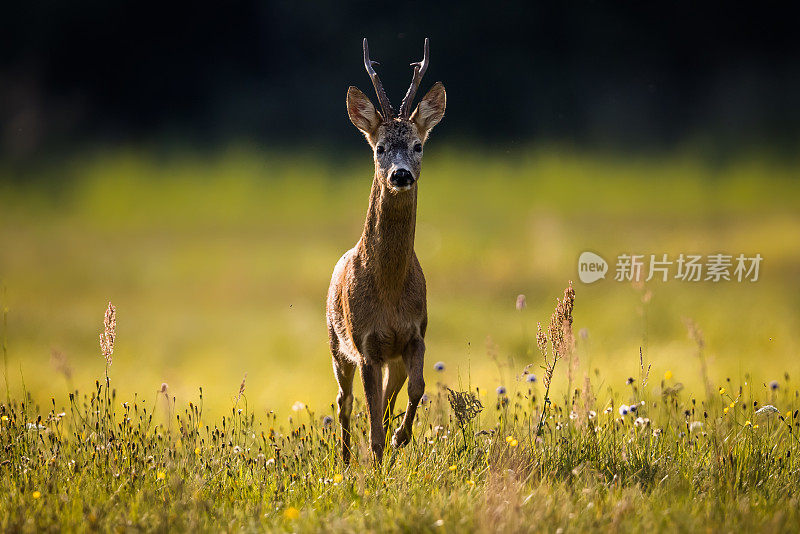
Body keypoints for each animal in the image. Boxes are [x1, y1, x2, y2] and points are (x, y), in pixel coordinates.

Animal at [328, 38, 446, 464]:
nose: (401, 174)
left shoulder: (415, 335)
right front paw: (379, 454)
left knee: (386, 399)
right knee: (344, 401)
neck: (391, 290)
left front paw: (401, 438)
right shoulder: (366, 345)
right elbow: (372, 411)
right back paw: (347, 461)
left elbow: (416, 389)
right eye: (379, 148)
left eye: (417, 145)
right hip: (336, 345)